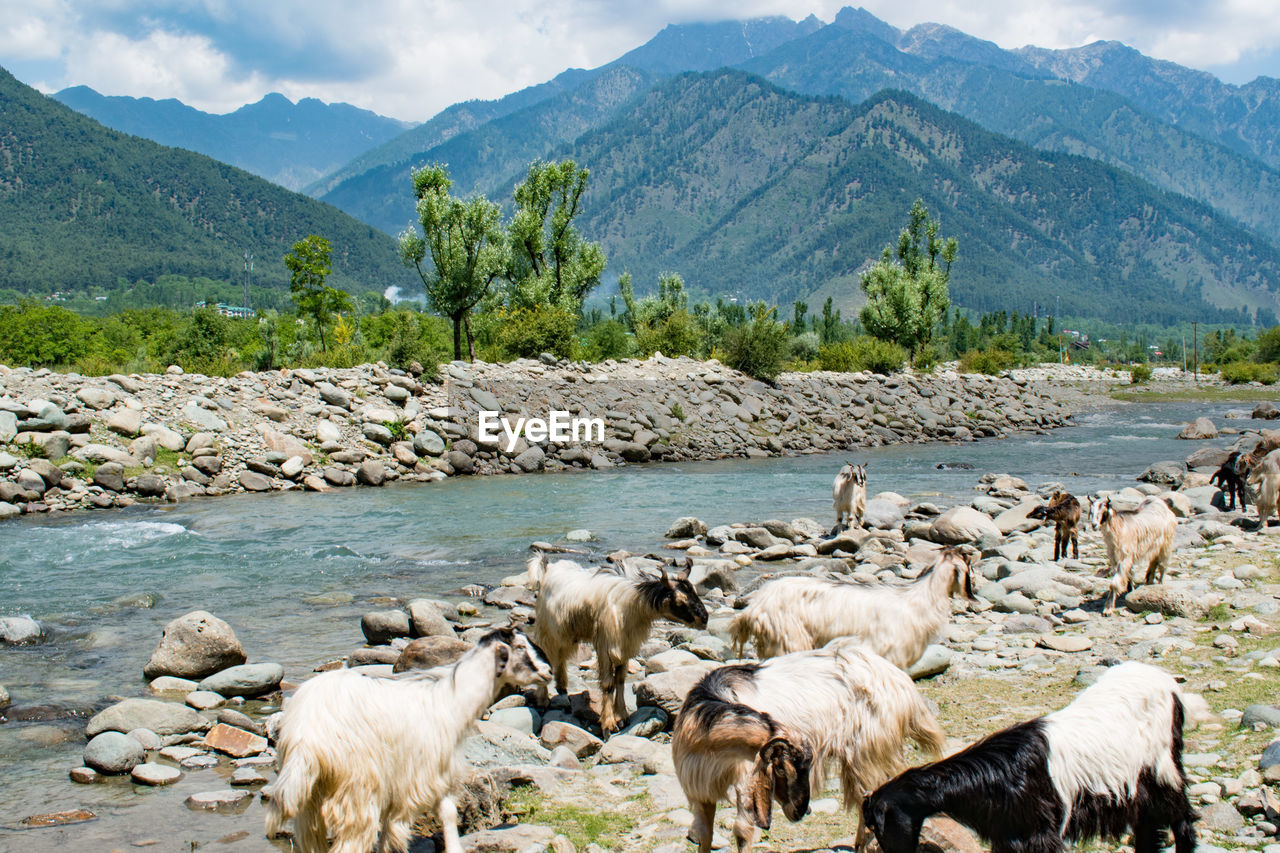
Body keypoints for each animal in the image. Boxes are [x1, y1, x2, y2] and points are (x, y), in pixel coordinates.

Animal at [264, 625, 550, 850]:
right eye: (520, 647)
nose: (548, 672)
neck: (452, 699)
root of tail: (305, 735)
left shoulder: (397, 782)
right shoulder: (427, 772)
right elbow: (447, 812)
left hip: (311, 798)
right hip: (357, 786)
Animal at [527, 550, 711, 732]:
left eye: (694, 591)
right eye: (679, 601)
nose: (705, 619)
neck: (631, 603)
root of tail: (547, 569)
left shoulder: (625, 645)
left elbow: (620, 680)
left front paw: (622, 715)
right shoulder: (605, 644)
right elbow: (608, 683)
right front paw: (608, 723)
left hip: (566, 633)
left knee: (561, 657)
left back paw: (562, 686)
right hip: (547, 630)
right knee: (547, 656)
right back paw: (543, 700)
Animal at [675, 637, 947, 850]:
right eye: (780, 770)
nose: (802, 811)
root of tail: (902, 685)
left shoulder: (746, 782)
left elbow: (742, 832)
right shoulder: (700, 790)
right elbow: (705, 835)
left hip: (868, 752)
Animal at [865, 655, 1192, 850]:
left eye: (881, 827)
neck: (997, 777)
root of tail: (1166, 682)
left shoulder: (1038, 831)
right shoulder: (1008, 834)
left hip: (1163, 766)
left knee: (1181, 816)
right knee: (1149, 825)